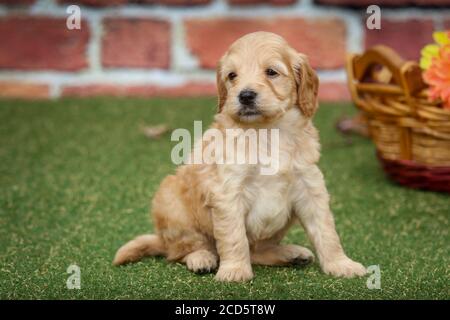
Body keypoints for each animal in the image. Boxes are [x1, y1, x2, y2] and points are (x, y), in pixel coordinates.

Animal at [112, 31, 366, 282]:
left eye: (271, 72)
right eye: (232, 75)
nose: (245, 96)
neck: (266, 132)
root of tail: (161, 239)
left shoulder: (310, 187)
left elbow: (326, 231)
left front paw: (341, 264)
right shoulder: (227, 192)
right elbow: (234, 237)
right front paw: (234, 270)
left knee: (257, 251)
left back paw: (291, 254)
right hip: (170, 202)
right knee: (182, 249)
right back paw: (201, 258)